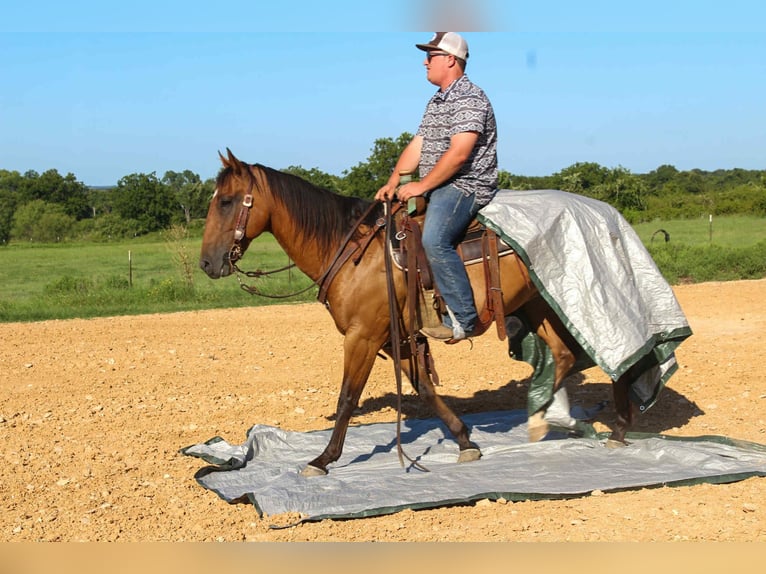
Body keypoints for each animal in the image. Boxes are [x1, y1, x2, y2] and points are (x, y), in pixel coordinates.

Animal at [199, 149, 639, 476]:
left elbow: (347, 398)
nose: (207, 263)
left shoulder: (363, 336)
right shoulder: (399, 339)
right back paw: (550, 420)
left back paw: (614, 428)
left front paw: (323, 459)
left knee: (615, 356)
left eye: (226, 201)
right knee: (565, 356)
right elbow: (424, 388)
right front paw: (464, 440)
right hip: (540, 304)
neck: (353, 251)